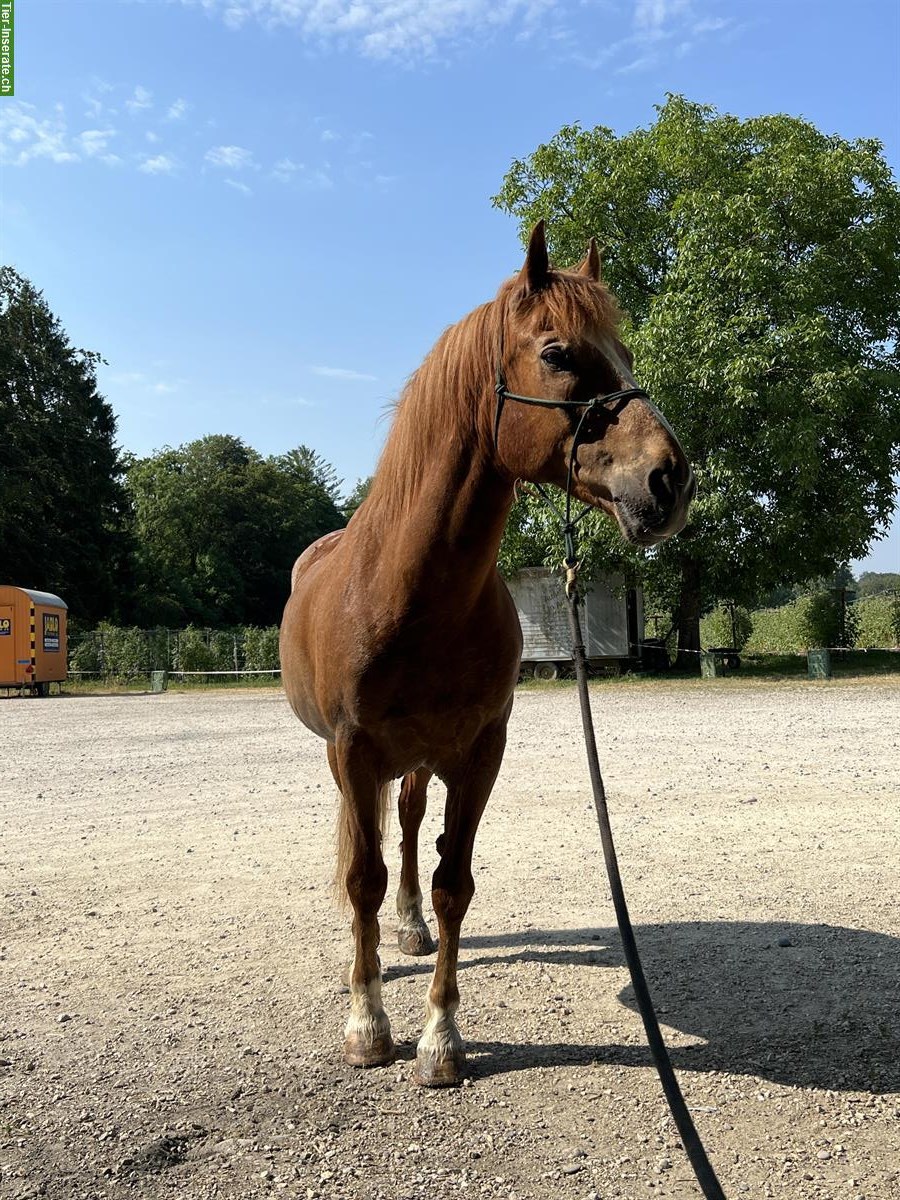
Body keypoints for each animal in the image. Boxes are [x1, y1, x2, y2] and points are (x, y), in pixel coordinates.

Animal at [282, 223, 696, 1089]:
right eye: (559, 352)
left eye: (624, 351)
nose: (670, 480)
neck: (412, 596)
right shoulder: (353, 751)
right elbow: (362, 877)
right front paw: (368, 1023)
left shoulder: (479, 753)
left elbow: (452, 883)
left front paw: (441, 1036)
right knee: (375, 846)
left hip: (419, 758)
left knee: (408, 826)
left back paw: (406, 930)